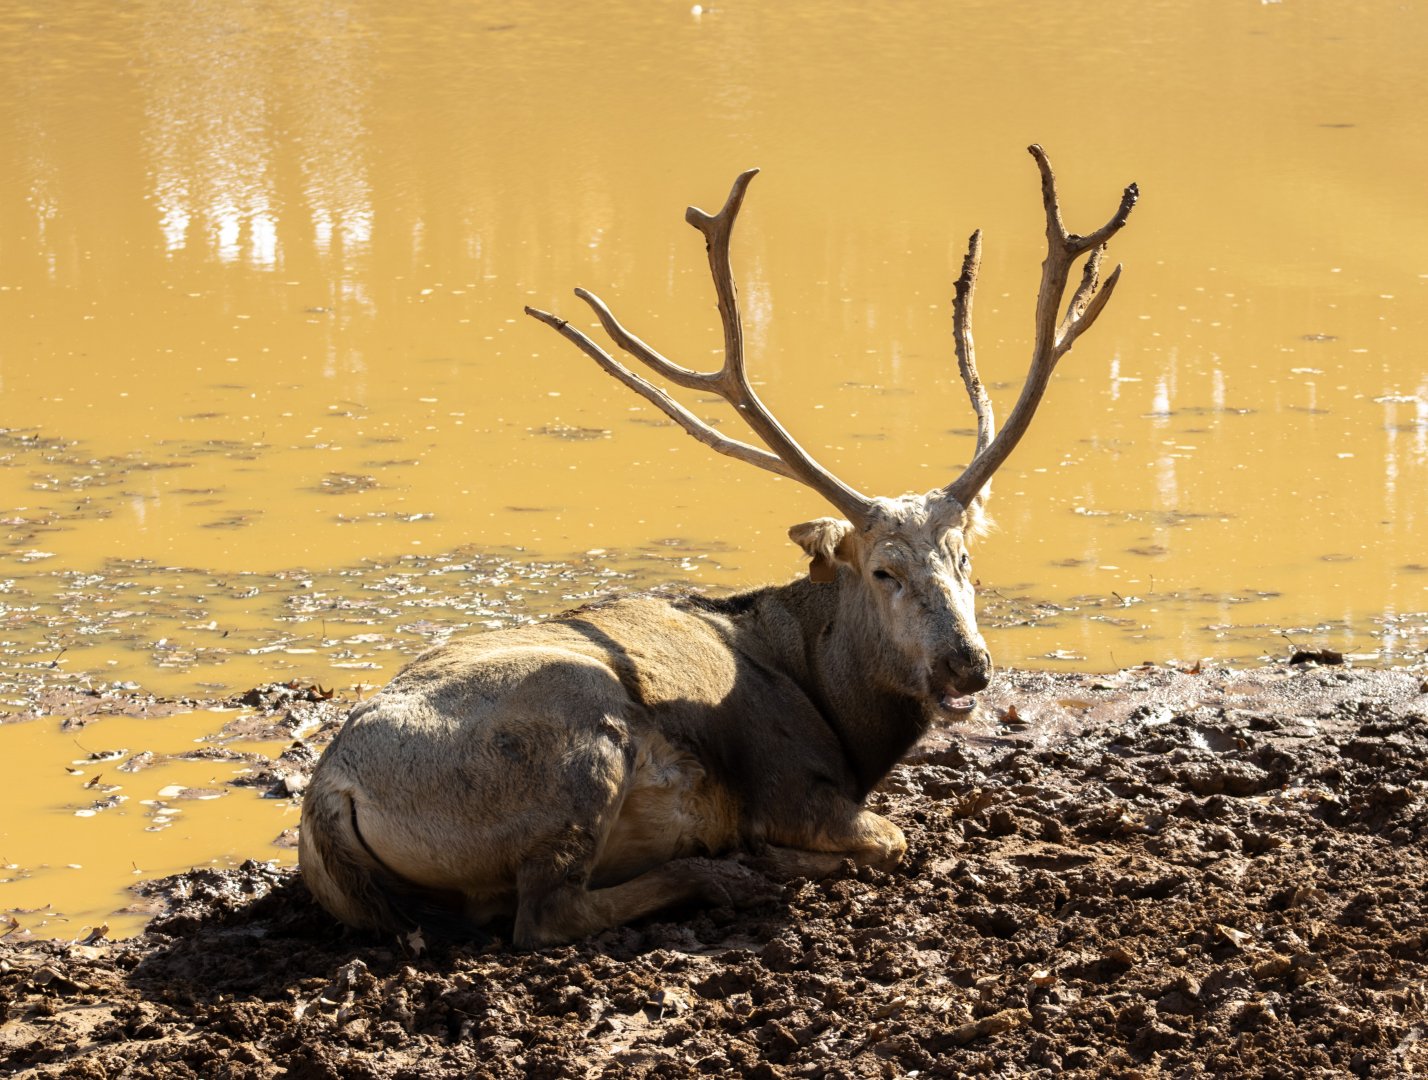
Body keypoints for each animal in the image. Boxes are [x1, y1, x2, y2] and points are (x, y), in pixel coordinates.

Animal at [299, 146, 1138, 948]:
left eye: (965, 558)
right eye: (883, 571)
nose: (967, 663)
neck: (841, 715)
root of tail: (328, 798)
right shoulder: (791, 783)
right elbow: (892, 837)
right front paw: (780, 855)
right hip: (572, 737)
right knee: (544, 913)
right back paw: (733, 874)